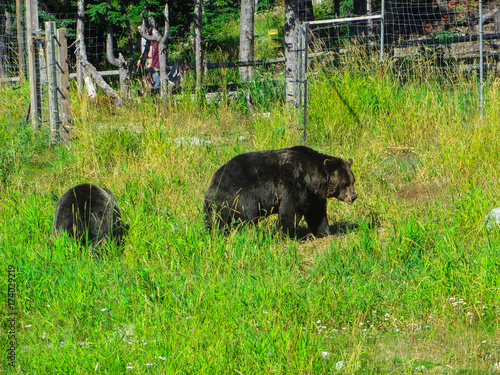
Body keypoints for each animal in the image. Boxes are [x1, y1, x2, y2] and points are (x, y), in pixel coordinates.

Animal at [202, 146, 356, 238]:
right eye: (344, 184)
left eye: (353, 181)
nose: (354, 196)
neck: (311, 180)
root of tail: (212, 186)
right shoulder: (293, 183)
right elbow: (290, 210)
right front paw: (286, 234)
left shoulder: (313, 195)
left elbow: (317, 214)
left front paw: (328, 233)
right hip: (240, 194)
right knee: (247, 217)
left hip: (217, 206)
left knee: (218, 222)